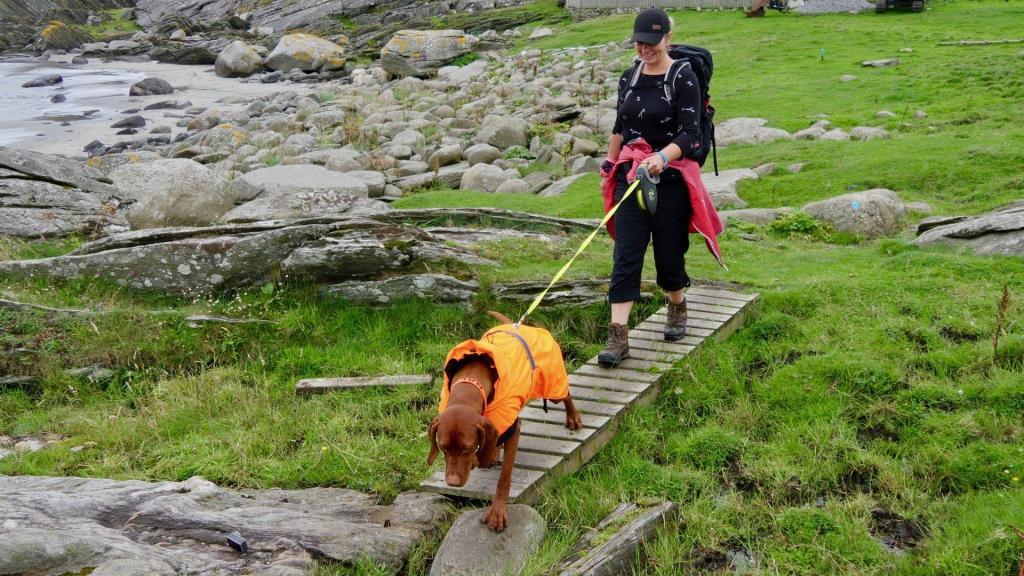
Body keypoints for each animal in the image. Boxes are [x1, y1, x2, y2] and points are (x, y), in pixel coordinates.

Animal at [425, 311, 585, 532]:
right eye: (443, 448)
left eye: (466, 448)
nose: (453, 484)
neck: (471, 383)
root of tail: (519, 325)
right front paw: (485, 457)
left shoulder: (512, 429)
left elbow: (504, 476)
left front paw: (498, 512)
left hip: (551, 384)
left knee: (564, 392)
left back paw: (572, 416)